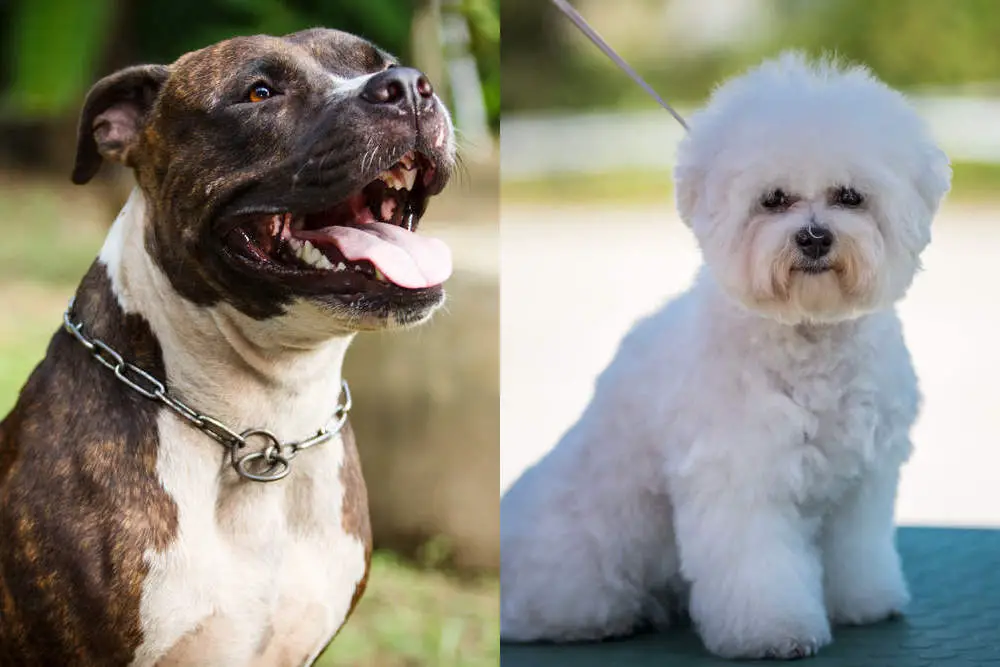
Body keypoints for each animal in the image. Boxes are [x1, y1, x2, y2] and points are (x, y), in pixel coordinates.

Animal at [504, 53, 948, 664]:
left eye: (850, 196)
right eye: (774, 199)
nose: (814, 237)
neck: (809, 337)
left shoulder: (863, 484)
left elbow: (857, 552)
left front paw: (865, 601)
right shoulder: (742, 480)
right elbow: (757, 570)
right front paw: (773, 631)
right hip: (586, 556)